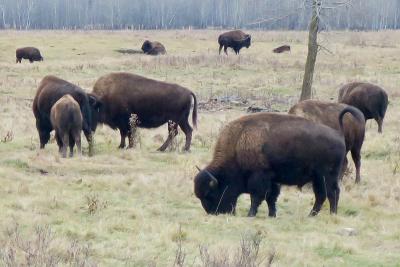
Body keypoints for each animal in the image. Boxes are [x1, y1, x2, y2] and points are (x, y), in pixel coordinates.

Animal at [192, 112, 348, 219]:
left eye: (210, 194)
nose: (213, 212)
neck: (238, 143)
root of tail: (339, 136)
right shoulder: (273, 180)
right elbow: (271, 198)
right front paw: (272, 215)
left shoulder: (259, 177)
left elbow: (257, 196)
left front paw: (250, 214)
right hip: (317, 179)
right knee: (321, 195)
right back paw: (311, 215)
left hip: (326, 177)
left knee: (332, 193)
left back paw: (332, 214)